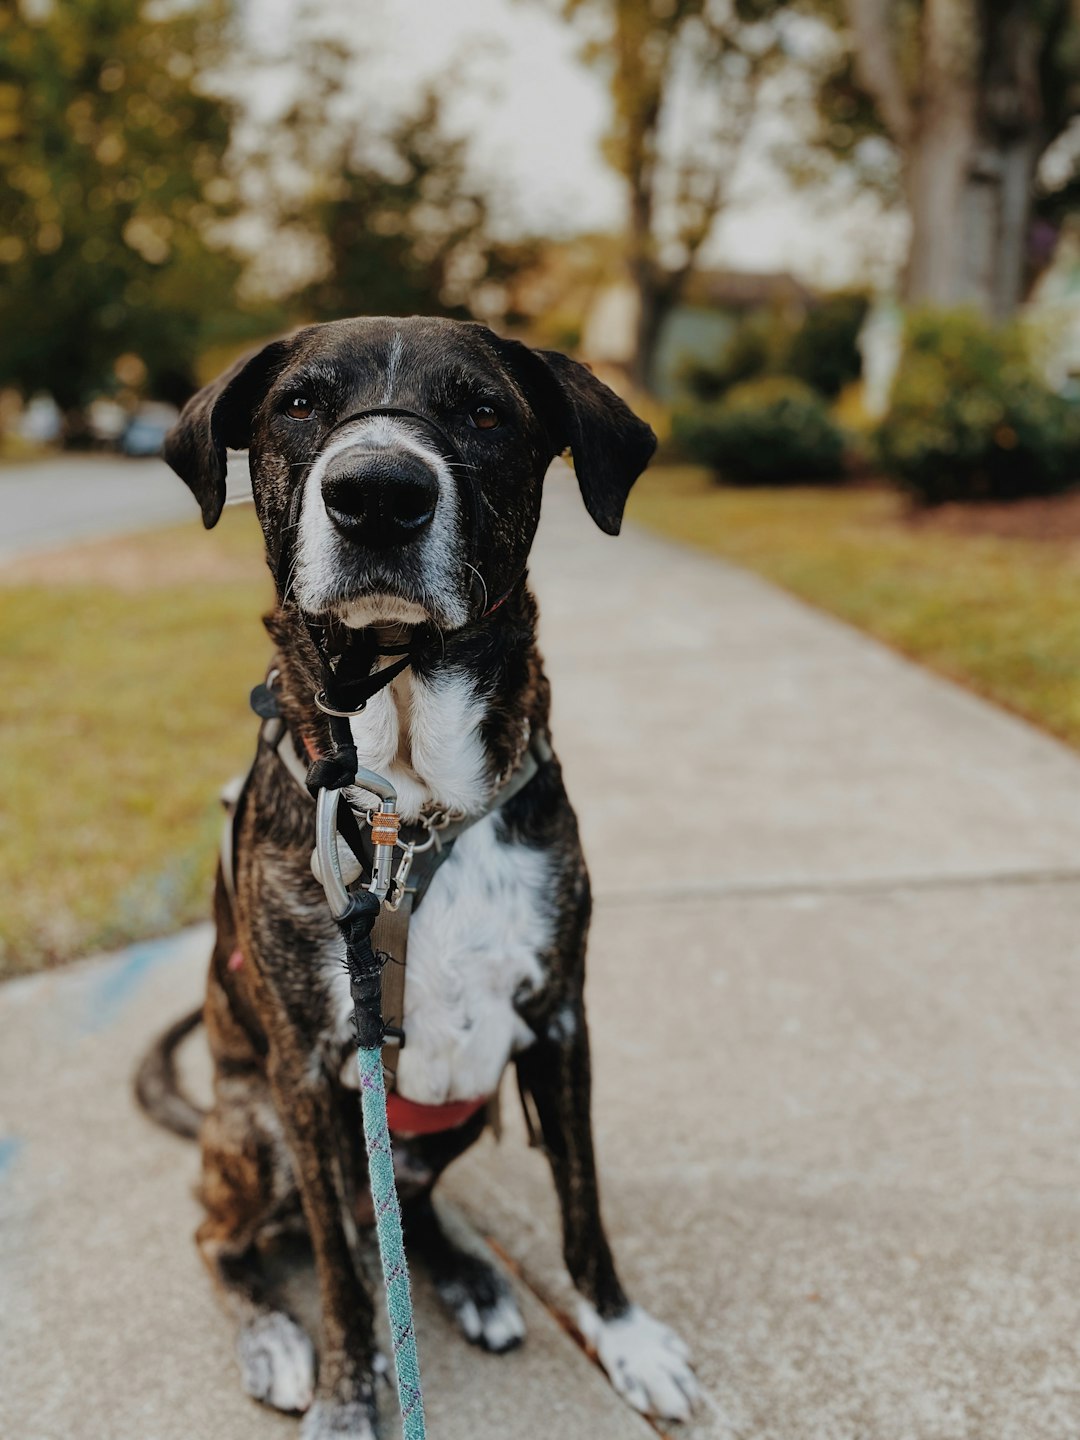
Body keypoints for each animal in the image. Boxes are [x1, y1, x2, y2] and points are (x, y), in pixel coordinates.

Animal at [137, 318, 702, 1440]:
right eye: (299, 404)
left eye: (481, 410)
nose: (378, 493)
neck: (409, 795)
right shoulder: (310, 1070)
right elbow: (342, 1283)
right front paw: (351, 1397)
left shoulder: (557, 1018)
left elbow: (583, 1204)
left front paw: (622, 1334)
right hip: (253, 1127)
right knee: (242, 1239)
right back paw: (275, 1334)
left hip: (470, 1104)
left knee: (405, 1211)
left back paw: (469, 1276)